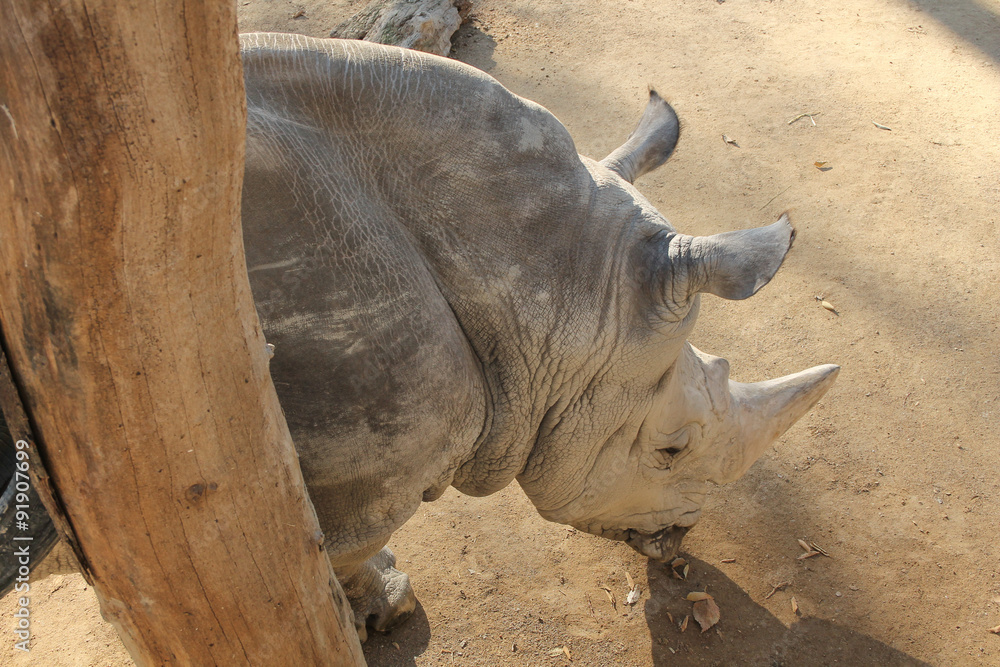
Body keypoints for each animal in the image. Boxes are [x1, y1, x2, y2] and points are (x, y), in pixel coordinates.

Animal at [0, 33, 838, 642]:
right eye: (670, 448)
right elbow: (339, 553)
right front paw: (381, 611)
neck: (548, 279)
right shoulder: (362, 470)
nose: (678, 538)